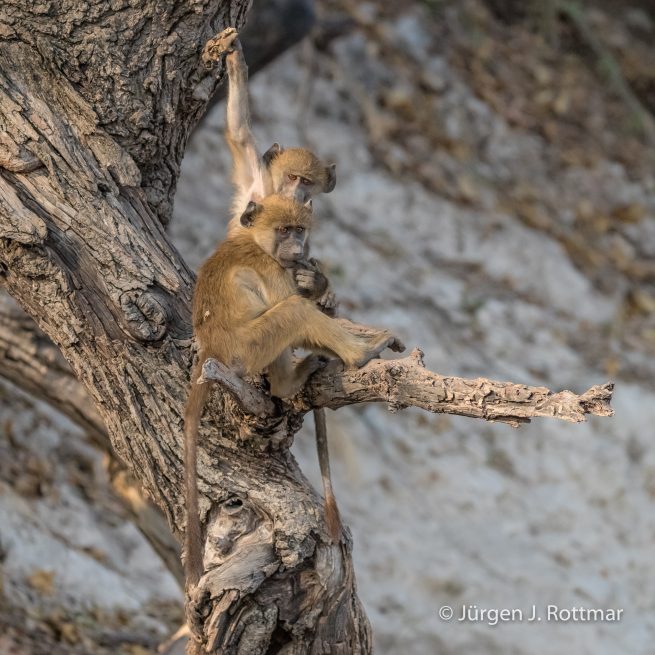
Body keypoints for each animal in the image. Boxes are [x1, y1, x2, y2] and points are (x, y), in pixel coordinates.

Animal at [184, 195, 404, 588]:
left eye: (299, 229)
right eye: (284, 230)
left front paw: (318, 281)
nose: (297, 247)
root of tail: (212, 349)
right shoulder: (271, 268)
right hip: (249, 347)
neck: (256, 241)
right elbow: (296, 314)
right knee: (295, 310)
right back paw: (356, 354)